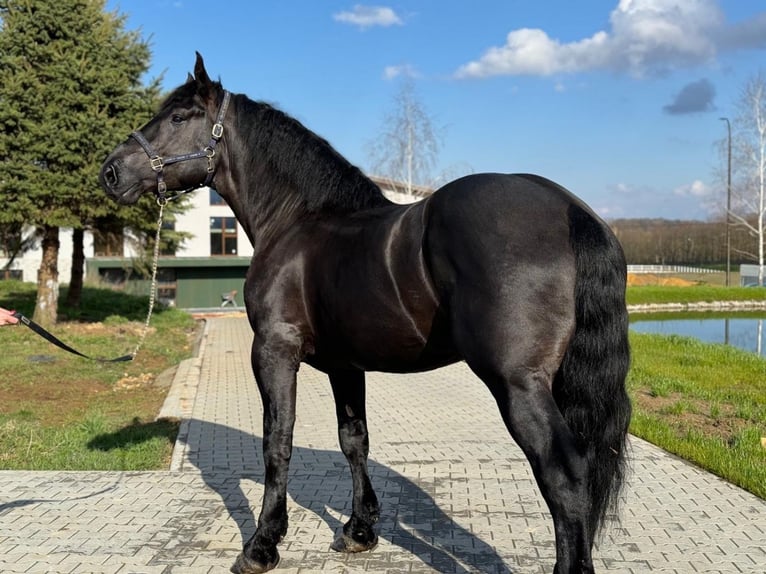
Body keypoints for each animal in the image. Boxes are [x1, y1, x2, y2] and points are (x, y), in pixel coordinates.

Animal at [99, 55, 632, 574]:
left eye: (179, 117)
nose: (110, 172)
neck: (297, 221)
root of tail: (568, 209)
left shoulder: (273, 350)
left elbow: (277, 440)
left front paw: (262, 544)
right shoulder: (345, 366)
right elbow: (354, 440)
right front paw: (359, 531)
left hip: (517, 384)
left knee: (563, 473)